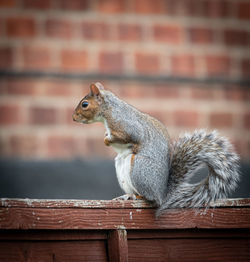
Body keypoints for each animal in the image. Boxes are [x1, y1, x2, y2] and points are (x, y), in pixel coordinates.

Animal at [72, 83, 240, 216]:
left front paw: (107, 139)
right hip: (121, 165)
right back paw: (127, 196)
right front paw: (105, 137)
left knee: (151, 199)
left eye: (85, 104)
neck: (109, 110)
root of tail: (162, 194)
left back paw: (139, 197)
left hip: (139, 167)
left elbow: (127, 137)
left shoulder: (127, 126)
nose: (73, 117)